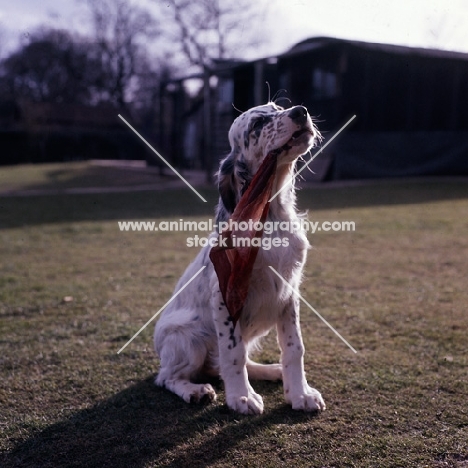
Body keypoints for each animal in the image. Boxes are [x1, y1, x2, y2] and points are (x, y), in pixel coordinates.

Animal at [154, 102, 326, 414]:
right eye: (257, 124)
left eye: (279, 107)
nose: (300, 111)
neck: (271, 214)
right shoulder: (226, 294)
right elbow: (232, 353)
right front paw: (241, 397)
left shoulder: (288, 292)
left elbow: (294, 347)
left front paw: (300, 394)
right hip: (186, 339)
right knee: (167, 377)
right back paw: (195, 390)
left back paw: (271, 370)